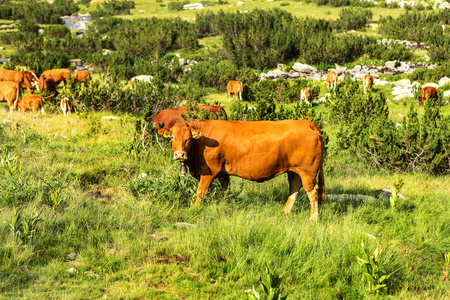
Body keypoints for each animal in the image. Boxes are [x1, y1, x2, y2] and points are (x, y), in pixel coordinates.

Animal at [158, 119, 324, 220]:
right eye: (172, 137)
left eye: (188, 138)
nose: (180, 154)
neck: (202, 141)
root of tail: (306, 122)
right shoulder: (223, 174)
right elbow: (226, 192)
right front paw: (225, 206)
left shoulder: (209, 170)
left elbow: (201, 191)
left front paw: (194, 209)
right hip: (294, 170)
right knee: (294, 189)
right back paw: (285, 212)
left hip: (308, 171)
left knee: (312, 191)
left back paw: (313, 218)